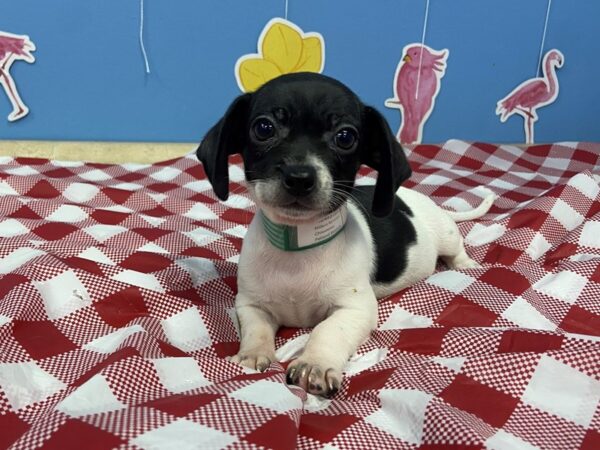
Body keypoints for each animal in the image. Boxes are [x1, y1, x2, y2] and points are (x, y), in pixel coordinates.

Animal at [197, 72, 492, 396]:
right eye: (264, 128)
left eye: (345, 137)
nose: (299, 177)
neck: (297, 249)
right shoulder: (251, 304)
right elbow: (256, 330)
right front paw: (253, 354)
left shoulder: (356, 308)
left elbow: (327, 330)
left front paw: (314, 363)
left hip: (447, 234)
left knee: (456, 249)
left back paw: (465, 265)